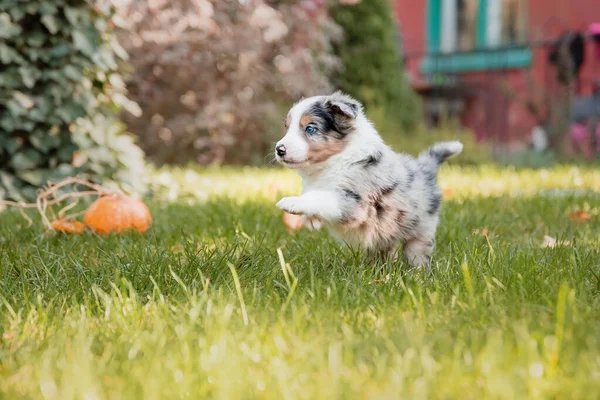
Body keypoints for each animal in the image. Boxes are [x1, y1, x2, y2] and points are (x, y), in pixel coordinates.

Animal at [274, 92, 462, 270]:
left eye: (310, 129)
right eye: (287, 127)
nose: (279, 149)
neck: (335, 160)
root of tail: (424, 168)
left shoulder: (355, 202)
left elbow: (323, 198)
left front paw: (291, 202)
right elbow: (315, 195)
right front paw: (311, 220)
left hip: (421, 231)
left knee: (418, 254)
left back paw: (417, 274)